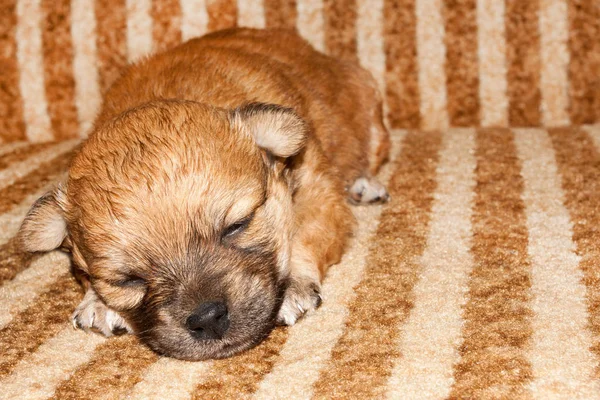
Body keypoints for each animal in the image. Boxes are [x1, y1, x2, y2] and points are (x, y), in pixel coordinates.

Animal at [17, 28, 390, 360]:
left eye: (237, 226)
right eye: (127, 280)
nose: (208, 319)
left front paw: (294, 285)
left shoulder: (319, 191)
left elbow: (304, 234)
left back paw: (364, 185)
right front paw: (96, 301)